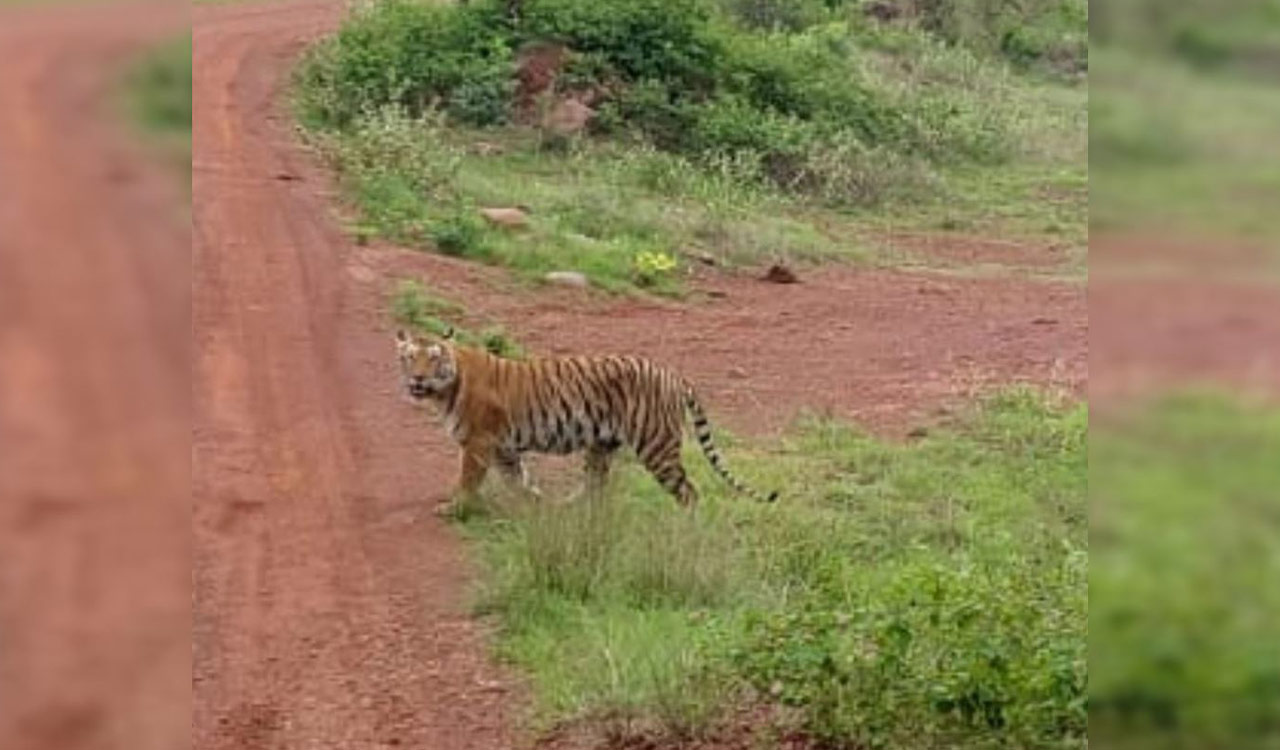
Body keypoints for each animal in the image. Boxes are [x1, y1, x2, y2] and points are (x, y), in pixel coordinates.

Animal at [395, 329, 777, 509]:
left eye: (433, 358)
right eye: (410, 357)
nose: (417, 379)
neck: (445, 389)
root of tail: (672, 373)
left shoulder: (478, 443)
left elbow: (468, 481)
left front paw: (454, 508)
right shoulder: (503, 448)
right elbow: (518, 479)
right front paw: (534, 505)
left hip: (656, 445)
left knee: (689, 492)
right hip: (602, 444)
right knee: (595, 486)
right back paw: (569, 509)